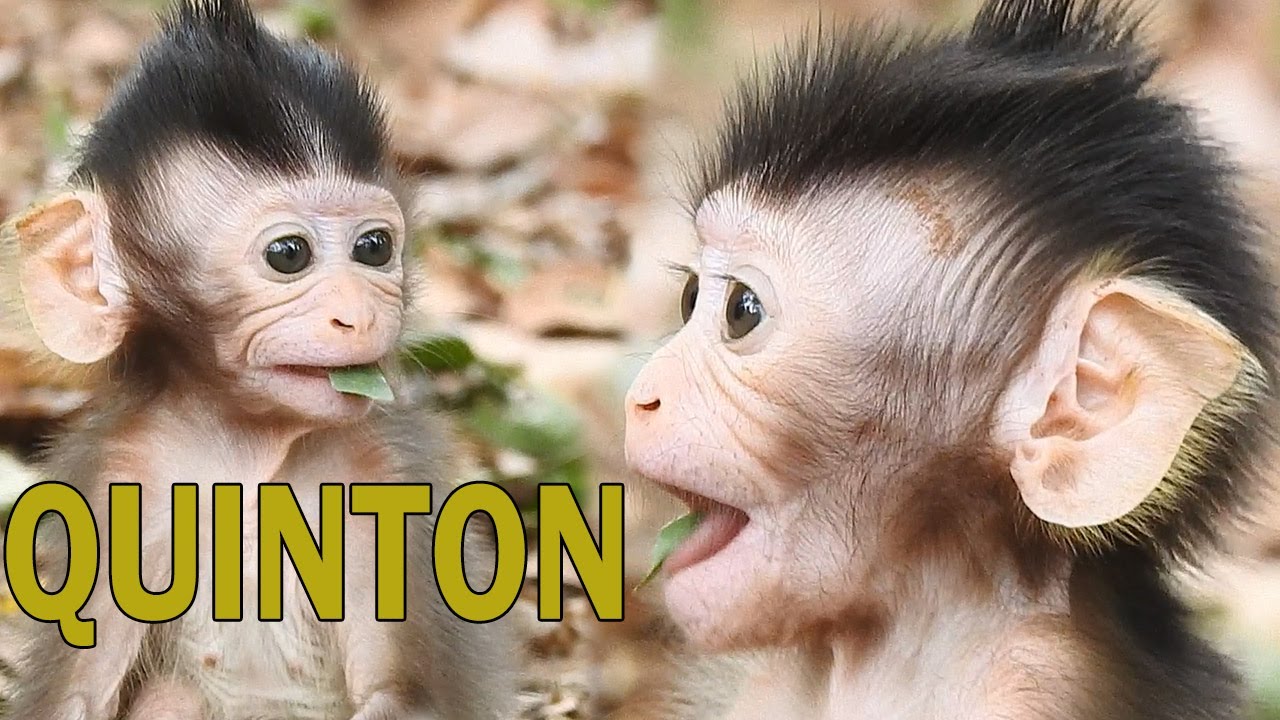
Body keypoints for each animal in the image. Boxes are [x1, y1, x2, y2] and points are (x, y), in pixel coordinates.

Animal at [0, 1, 519, 718]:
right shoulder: (118, 484)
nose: (357, 313)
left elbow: (400, 697)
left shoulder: (387, 474)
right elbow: (79, 693)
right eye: (288, 255)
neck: (247, 453)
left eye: (374, 248)